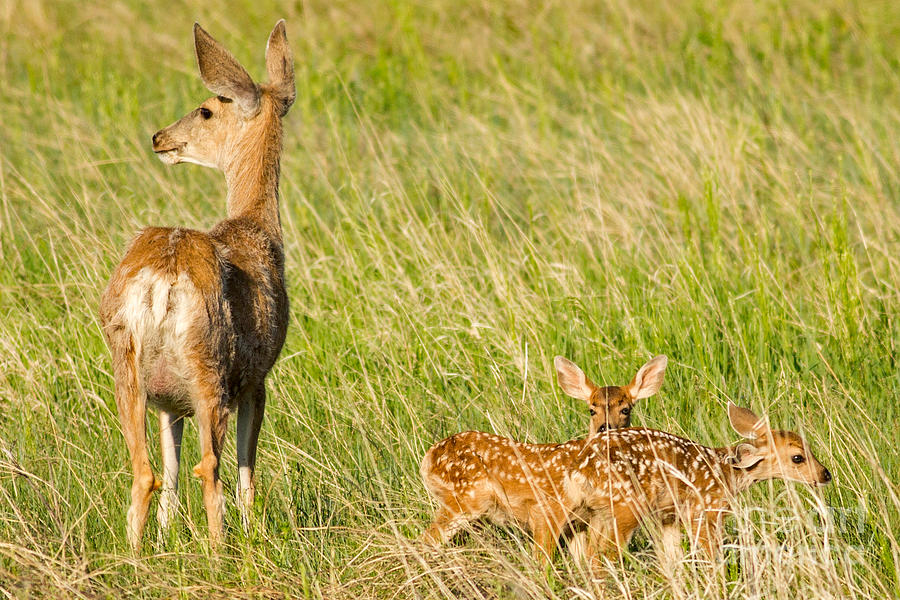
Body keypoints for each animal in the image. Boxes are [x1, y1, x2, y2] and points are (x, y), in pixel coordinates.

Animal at [100, 21, 296, 552]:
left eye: (207, 108)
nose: (159, 137)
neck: (256, 229)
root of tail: (164, 282)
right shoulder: (257, 378)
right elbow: (248, 468)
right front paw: (251, 533)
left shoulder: (170, 402)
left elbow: (169, 469)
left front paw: (166, 536)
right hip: (211, 368)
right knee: (209, 468)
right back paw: (219, 552)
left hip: (129, 366)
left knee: (145, 471)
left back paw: (136, 555)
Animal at [418, 352, 664, 564]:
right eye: (591, 409)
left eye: (625, 409)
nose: (606, 427)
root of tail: (429, 456)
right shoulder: (547, 507)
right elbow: (543, 559)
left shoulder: (579, 524)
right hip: (465, 497)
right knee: (427, 539)